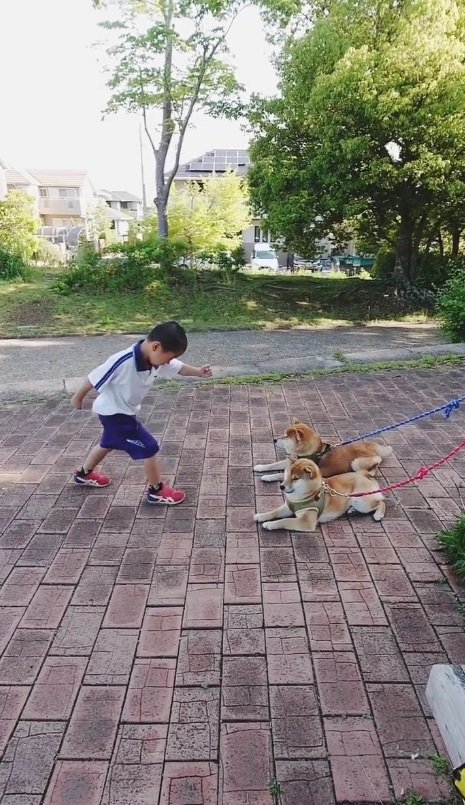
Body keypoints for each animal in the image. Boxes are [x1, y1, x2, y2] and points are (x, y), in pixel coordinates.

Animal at [254, 424, 392, 480]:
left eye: (285, 437)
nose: (274, 439)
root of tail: (373, 447)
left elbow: (280, 474)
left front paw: (267, 477)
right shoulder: (291, 461)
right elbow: (272, 465)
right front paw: (260, 467)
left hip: (356, 462)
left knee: (372, 469)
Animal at [254, 456, 384, 532]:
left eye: (295, 478)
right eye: (286, 475)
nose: (281, 486)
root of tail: (364, 474)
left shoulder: (306, 522)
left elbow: (284, 521)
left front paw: (269, 524)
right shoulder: (289, 507)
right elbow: (274, 512)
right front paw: (261, 516)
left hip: (361, 501)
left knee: (380, 502)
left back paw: (378, 514)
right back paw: (352, 510)